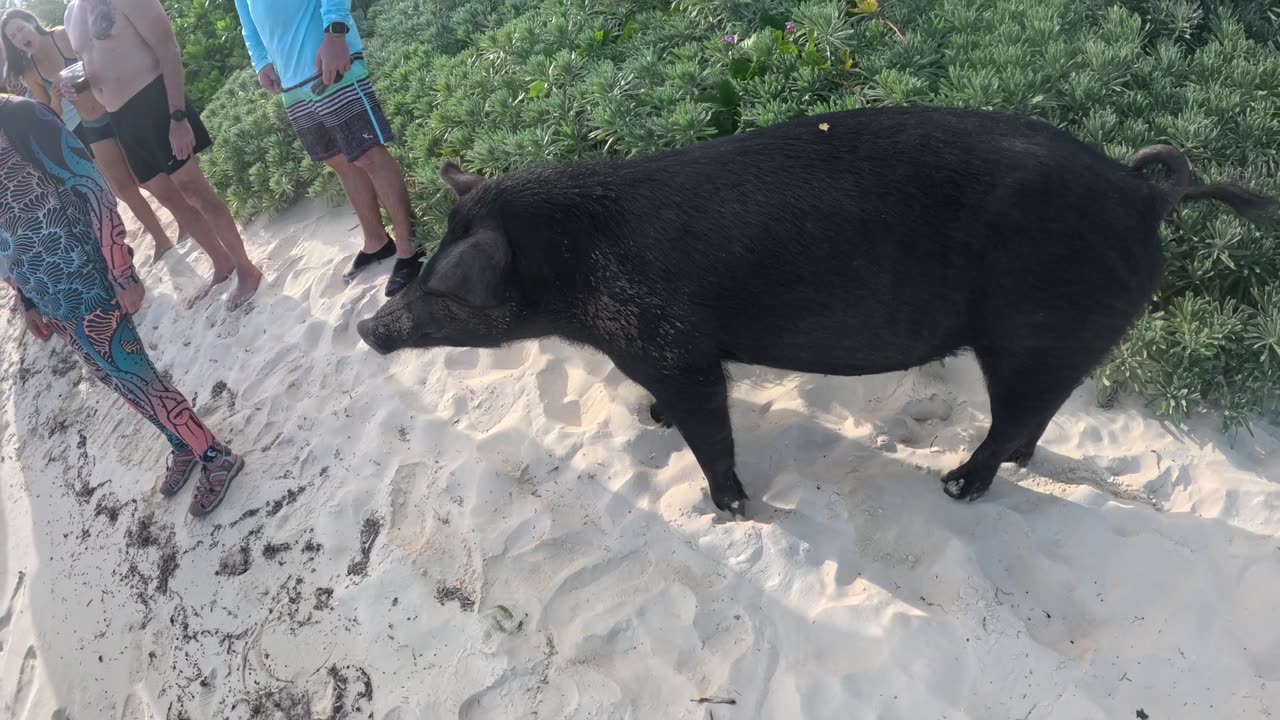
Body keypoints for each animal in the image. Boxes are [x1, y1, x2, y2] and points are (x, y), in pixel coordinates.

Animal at [355, 103, 1274, 512]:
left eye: (439, 282)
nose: (366, 326)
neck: (580, 277)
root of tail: (1145, 194)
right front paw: (652, 420)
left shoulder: (673, 342)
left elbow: (711, 426)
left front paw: (728, 507)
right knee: (1038, 416)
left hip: (1038, 331)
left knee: (1015, 415)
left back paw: (957, 486)